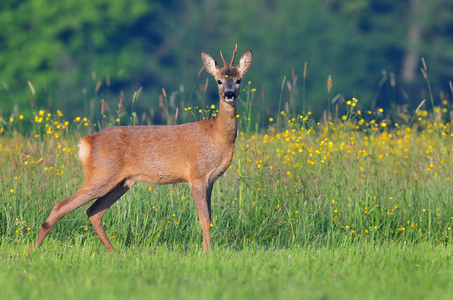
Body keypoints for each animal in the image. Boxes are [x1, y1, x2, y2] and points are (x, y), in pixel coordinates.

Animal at [30, 44, 252, 252]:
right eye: (219, 81)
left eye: (239, 80)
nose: (229, 94)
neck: (217, 137)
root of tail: (87, 142)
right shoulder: (197, 174)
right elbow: (204, 219)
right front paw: (208, 253)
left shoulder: (211, 179)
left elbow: (210, 218)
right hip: (101, 174)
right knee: (60, 206)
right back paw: (33, 251)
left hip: (121, 182)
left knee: (93, 212)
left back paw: (114, 252)